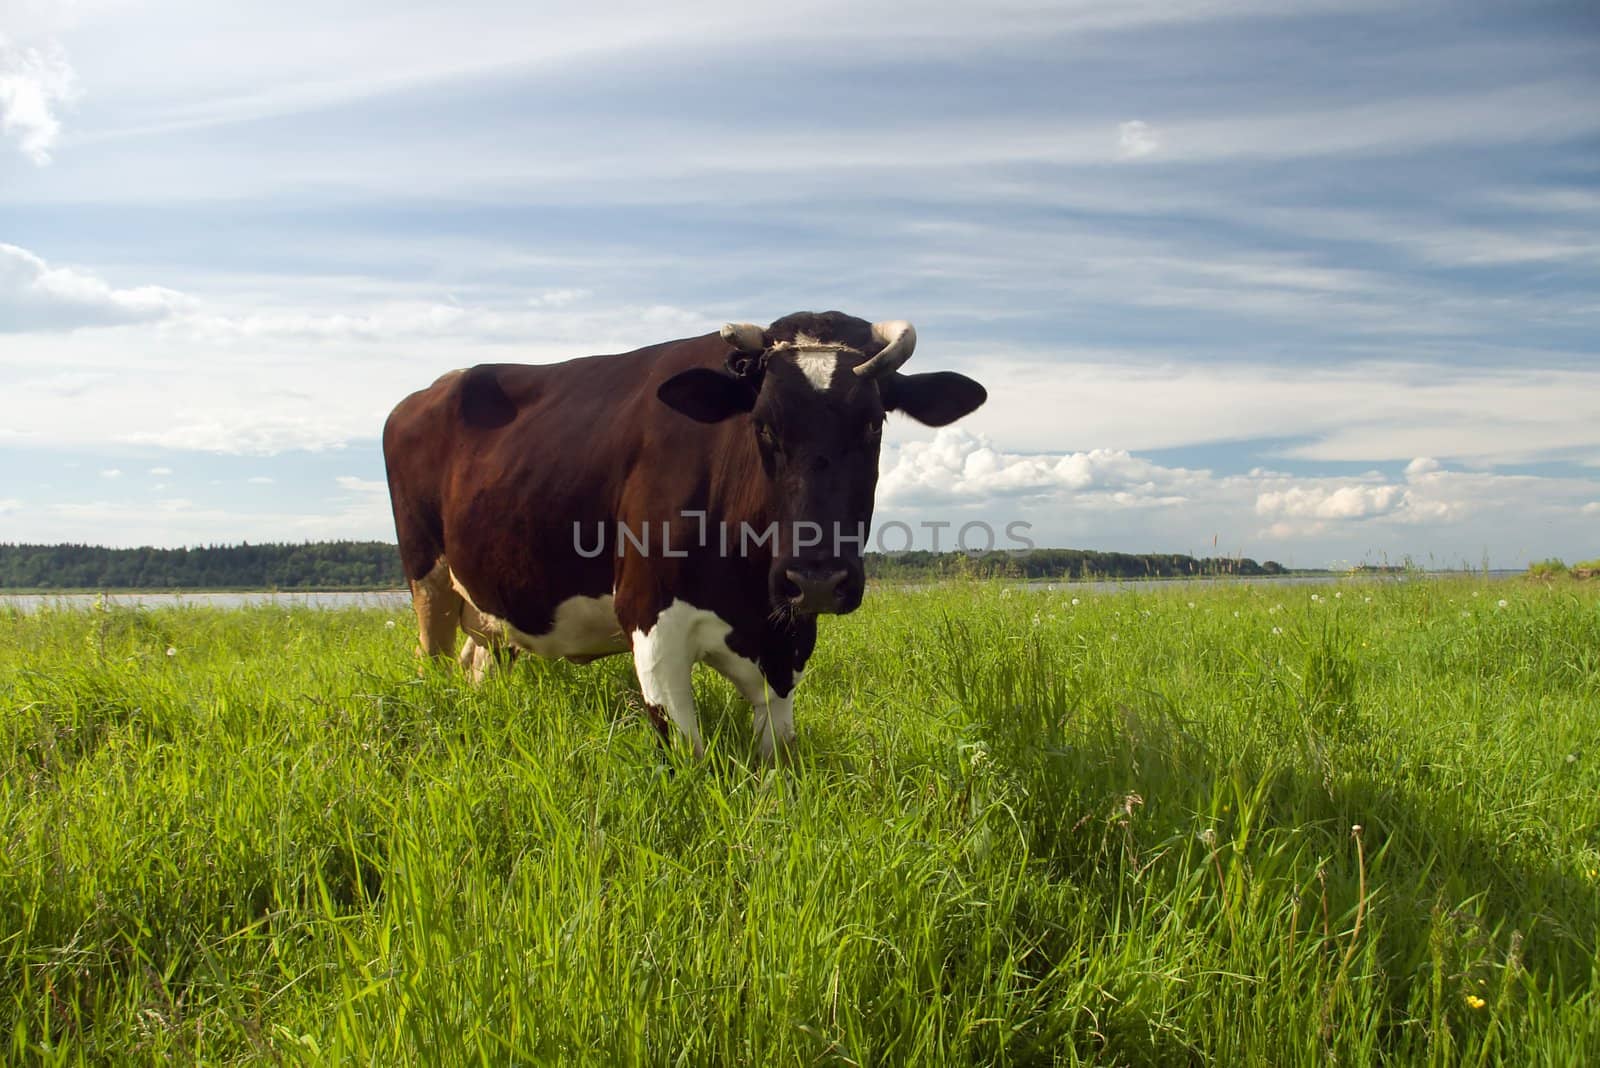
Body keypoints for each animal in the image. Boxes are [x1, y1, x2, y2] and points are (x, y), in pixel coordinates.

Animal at [387, 308, 985, 757]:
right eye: (762, 425)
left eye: (872, 424)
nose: (816, 579)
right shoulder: (651, 621)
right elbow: (688, 755)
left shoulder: (788, 640)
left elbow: (778, 755)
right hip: (427, 582)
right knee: (430, 662)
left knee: (480, 660)